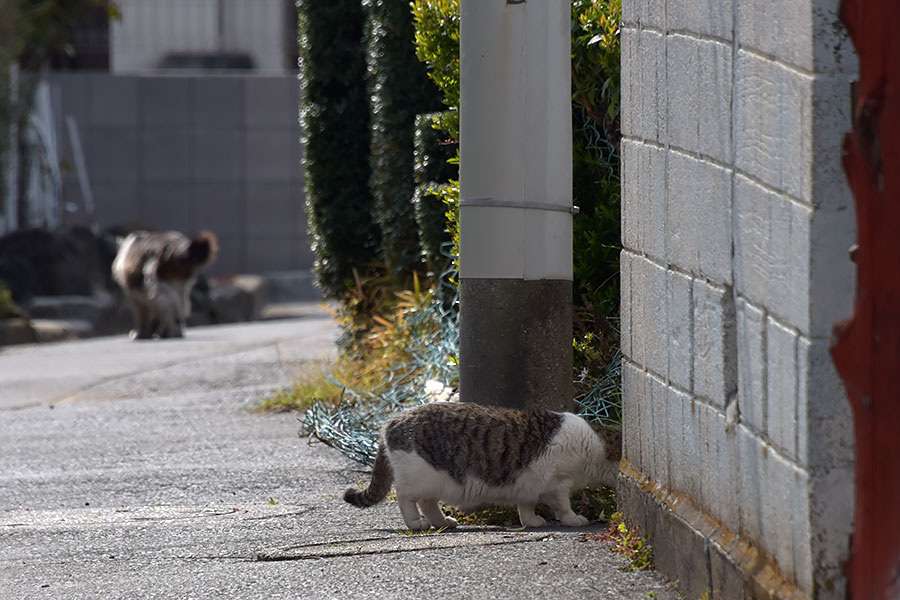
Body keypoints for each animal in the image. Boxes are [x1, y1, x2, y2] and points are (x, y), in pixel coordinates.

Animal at [342, 404, 624, 528]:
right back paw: (416, 523)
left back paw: (443, 521)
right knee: (406, 498)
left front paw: (531, 521)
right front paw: (574, 519)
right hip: (419, 476)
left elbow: (526, 505)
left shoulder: (529, 484)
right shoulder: (558, 484)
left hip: (434, 481)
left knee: (427, 502)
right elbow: (563, 506)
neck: (596, 443)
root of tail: (390, 422)